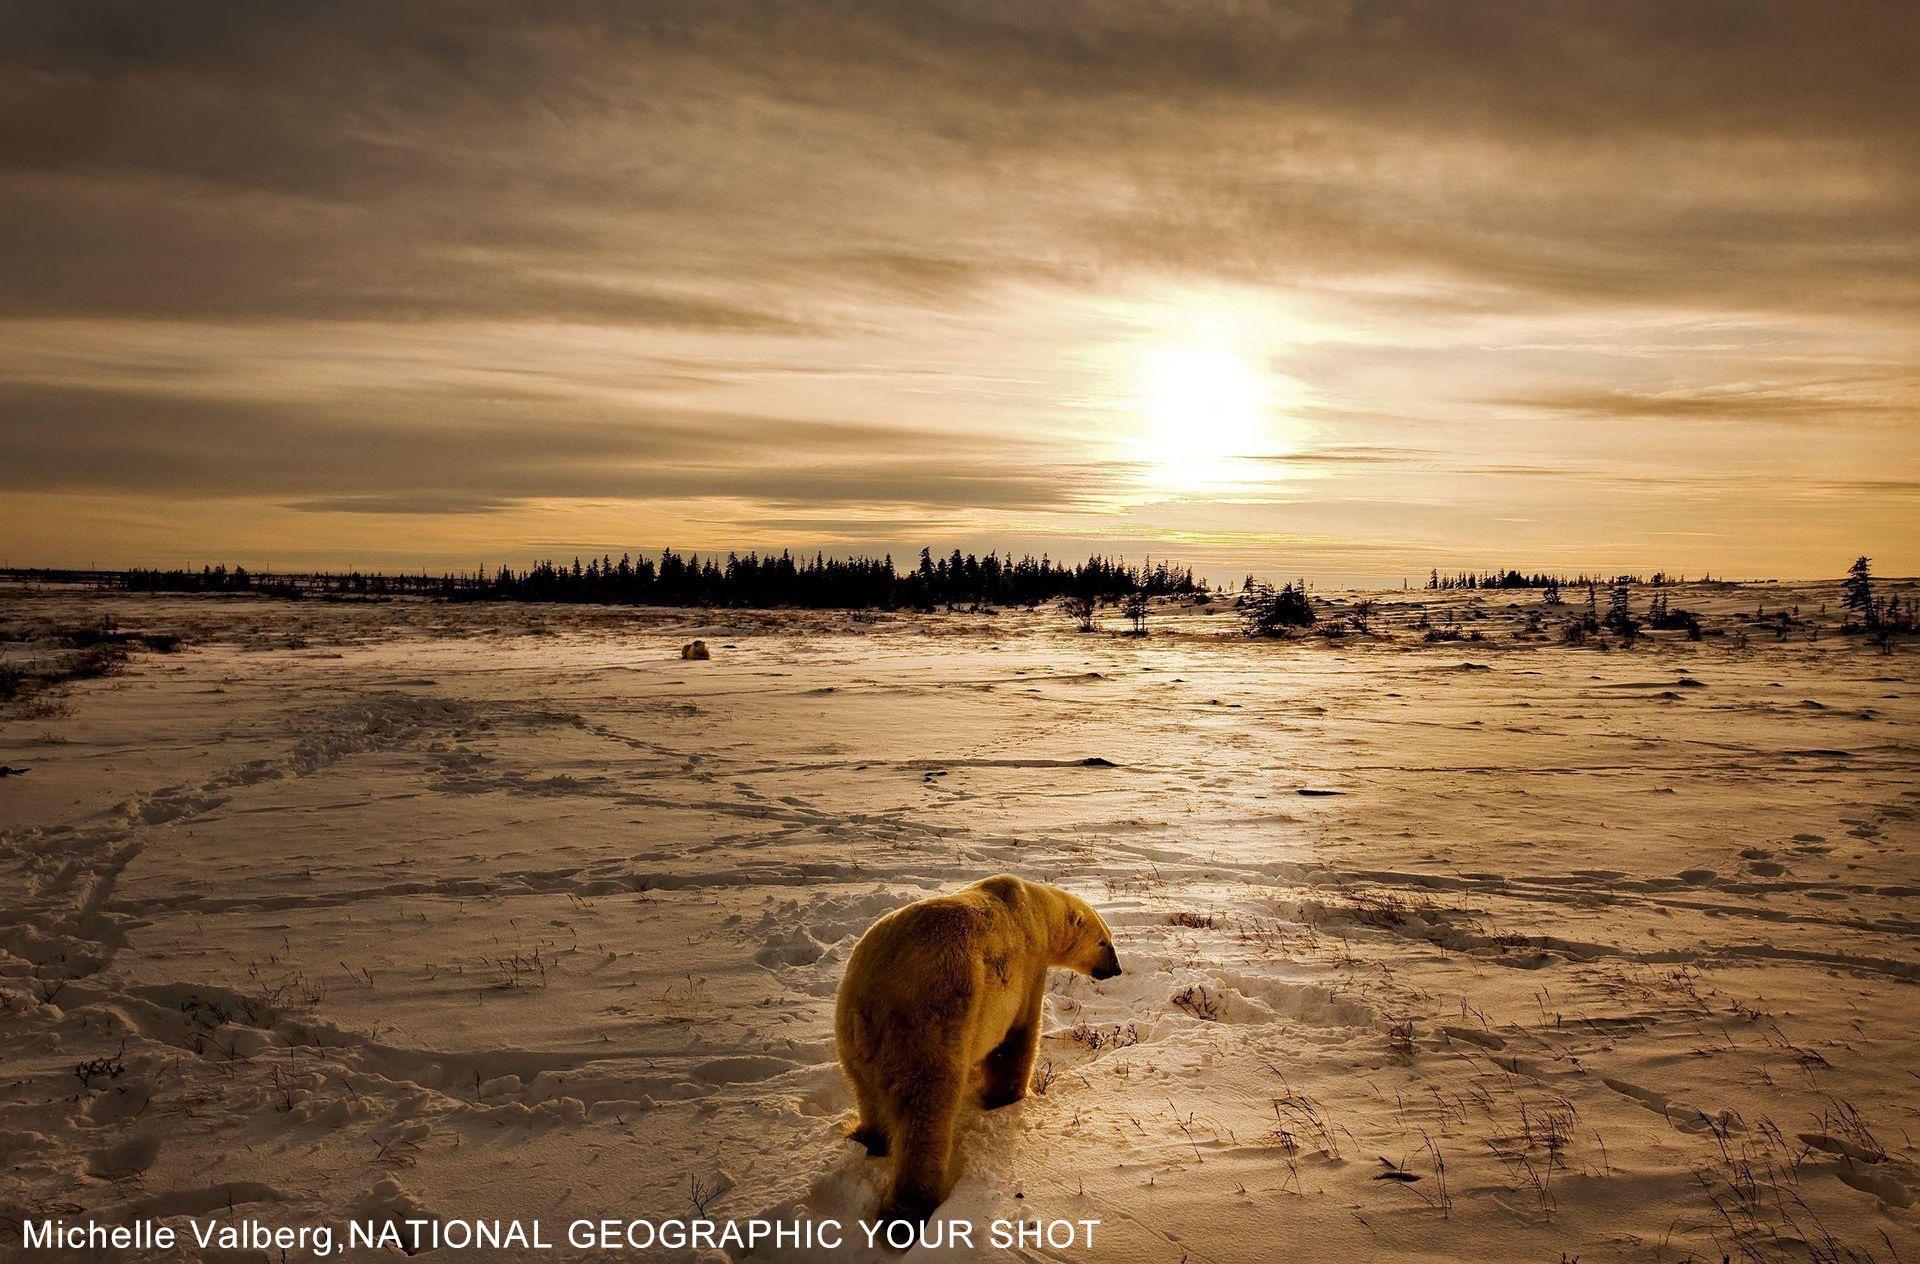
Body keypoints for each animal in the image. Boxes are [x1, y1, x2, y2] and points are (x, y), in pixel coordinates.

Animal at [829, 875, 1121, 1221]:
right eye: (1103, 942)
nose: (1116, 969)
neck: (1036, 909)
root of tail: (871, 1001)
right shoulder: (1028, 966)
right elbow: (1016, 1040)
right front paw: (1007, 1098)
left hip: (851, 1035)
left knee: (866, 1091)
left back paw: (868, 1138)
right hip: (928, 1021)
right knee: (927, 1109)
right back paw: (911, 1206)